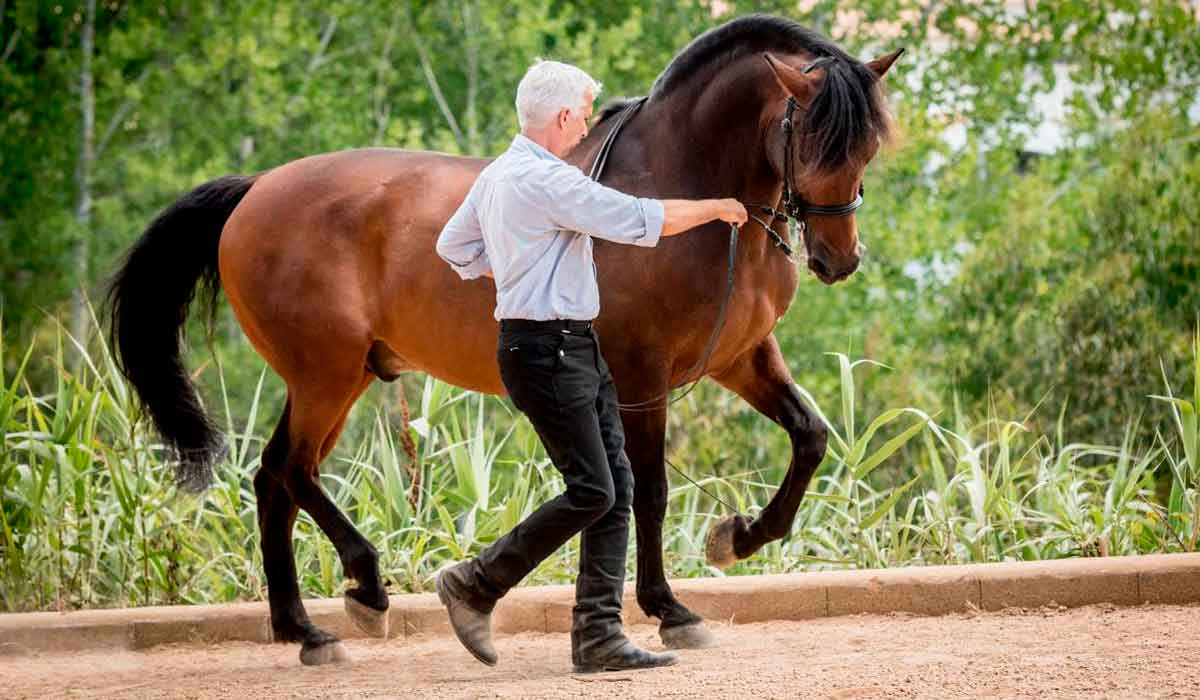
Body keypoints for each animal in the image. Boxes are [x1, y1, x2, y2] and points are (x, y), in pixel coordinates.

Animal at [108, 13, 897, 667]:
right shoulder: (641, 379)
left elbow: (810, 437)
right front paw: (670, 609)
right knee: (292, 472)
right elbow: (649, 492)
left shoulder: (741, 359)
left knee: (274, 477)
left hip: (340, 378)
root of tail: (255, 189)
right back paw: (362, 589)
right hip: (324, 376)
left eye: (866, 146)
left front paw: (738, 537)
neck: (681, 185)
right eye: (813, 138)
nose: (838, 258)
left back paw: (306, 628)